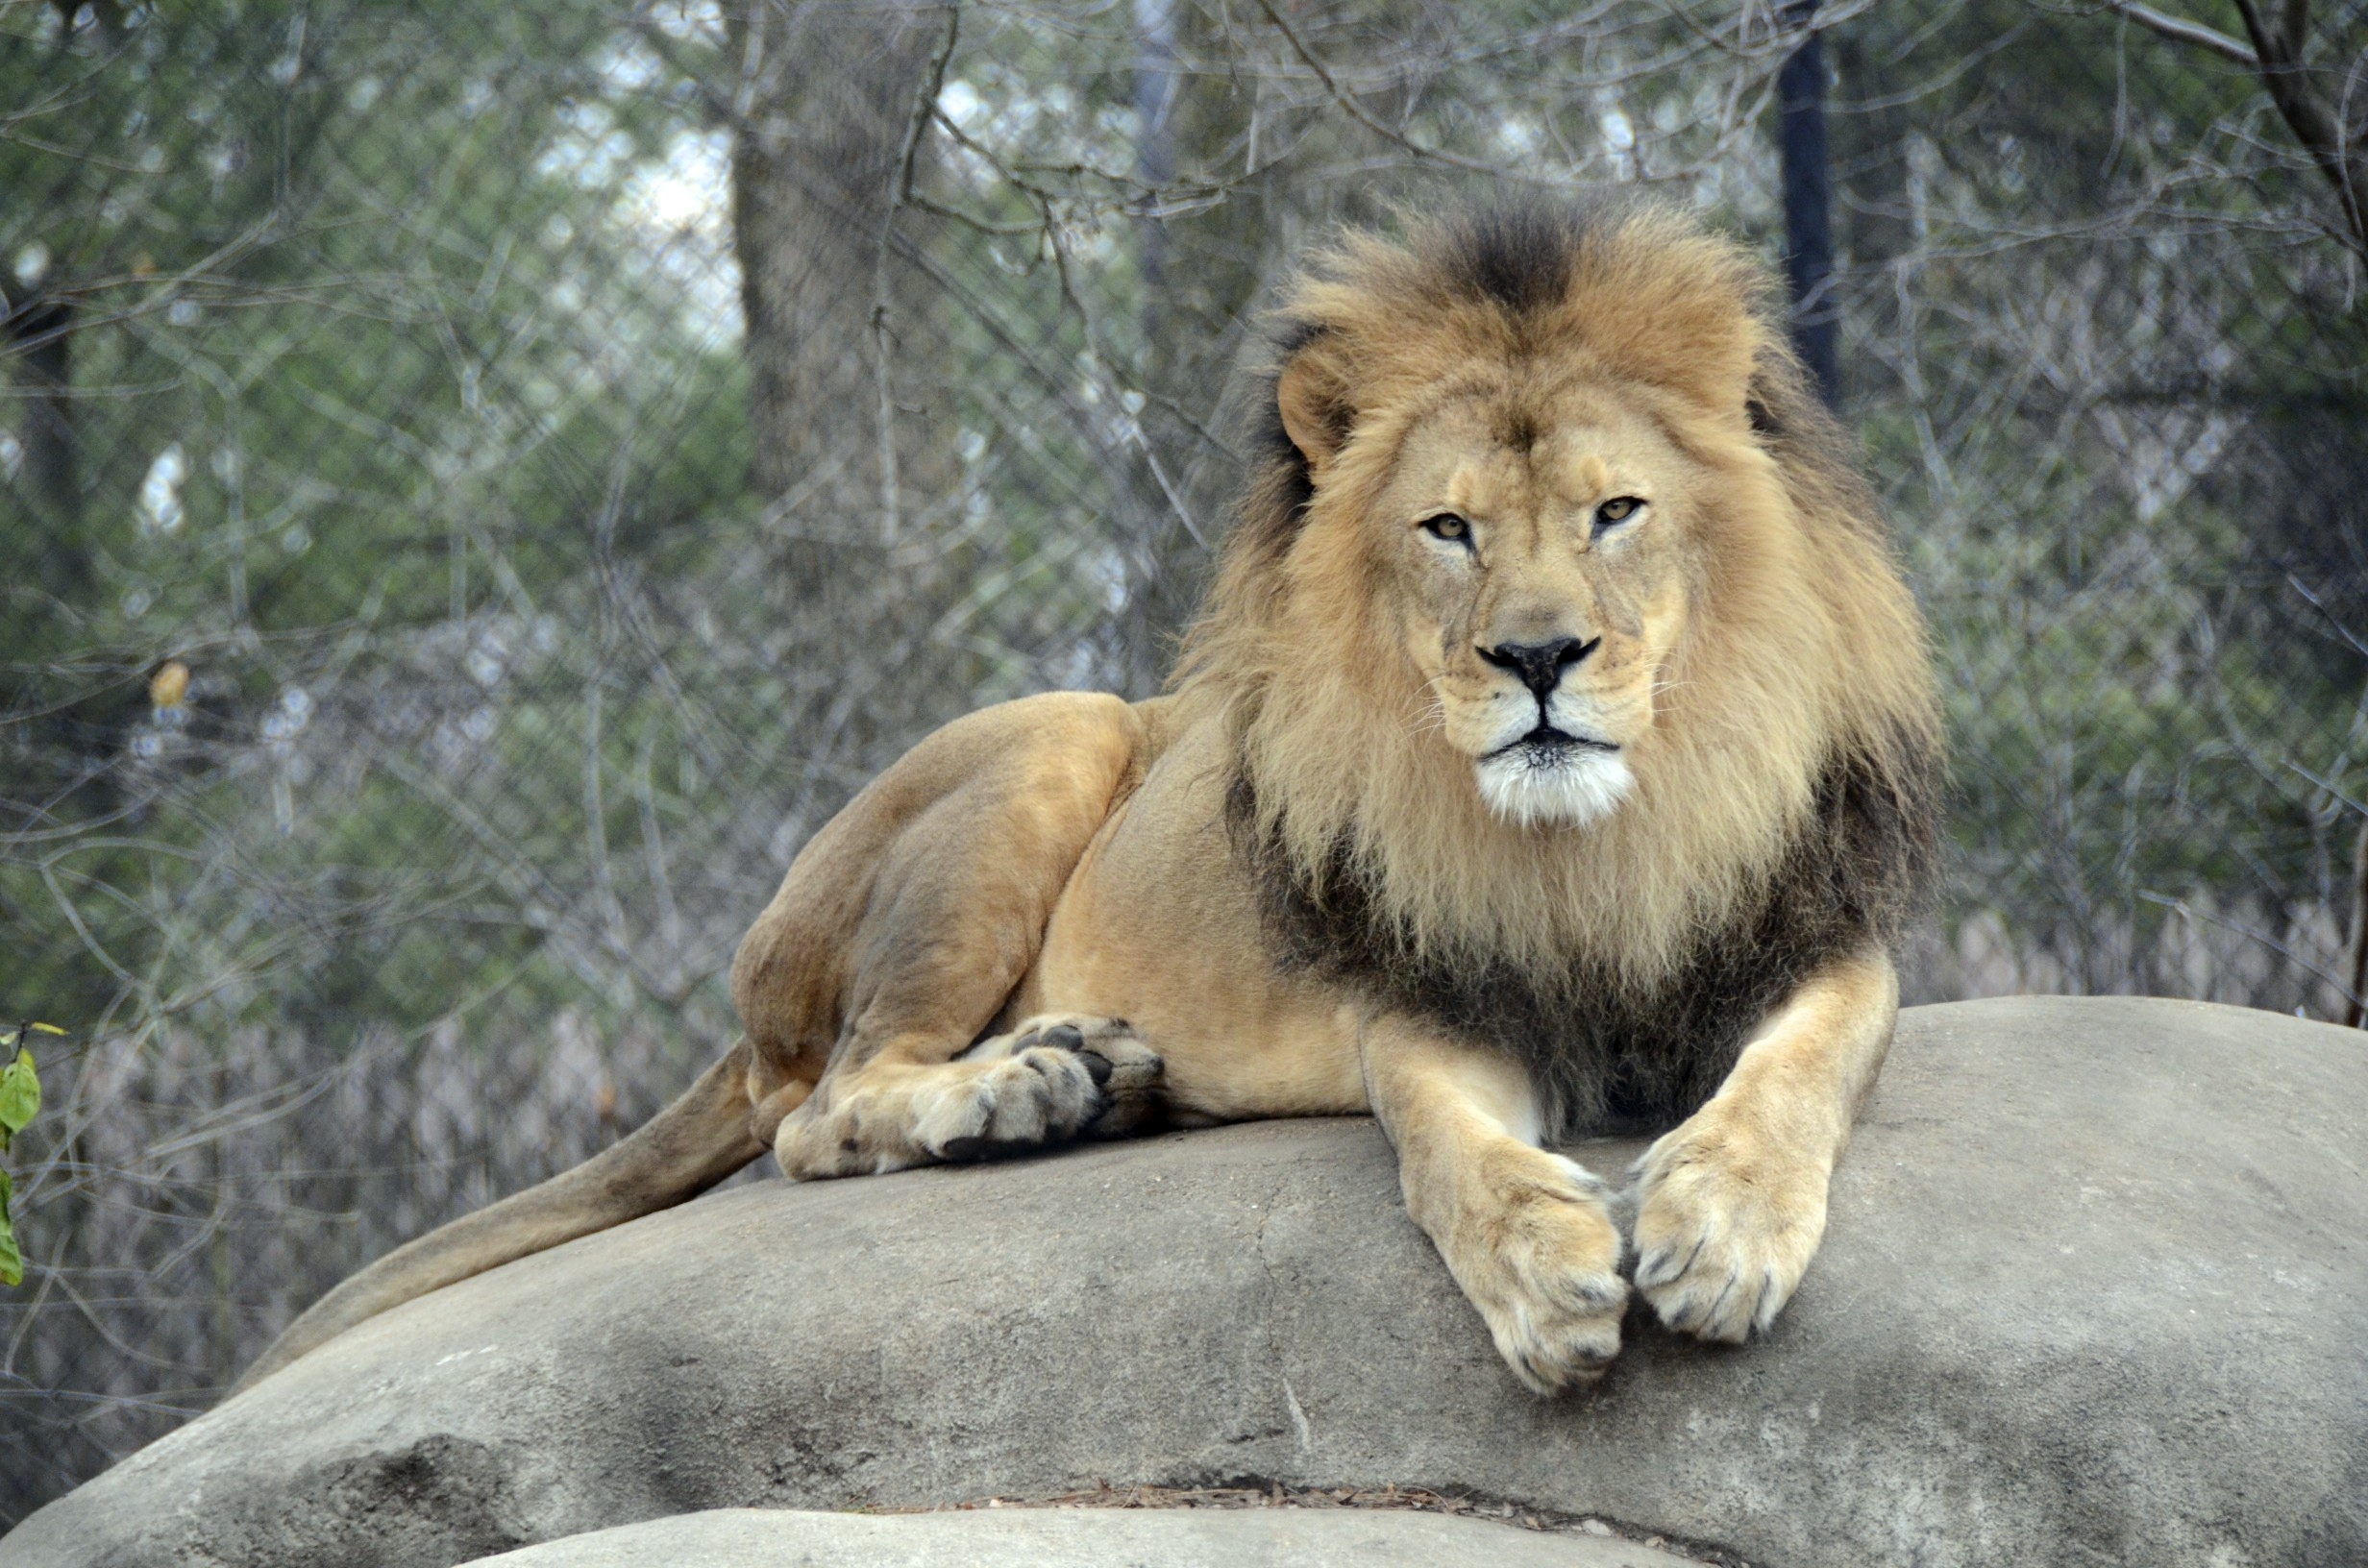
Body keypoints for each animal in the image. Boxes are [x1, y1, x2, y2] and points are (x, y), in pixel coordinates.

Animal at [240, 200, 1941, 1402]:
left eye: (1615, 512)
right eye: (1448, 529)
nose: (1535, 658)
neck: (1604, 843)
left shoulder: (1820, 930)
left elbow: (1800, 1070)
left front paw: (1720, 1228)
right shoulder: (1422, 998)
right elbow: (1447, 1148)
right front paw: (1545, 1273)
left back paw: (1086, 1070)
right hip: (1048, 739)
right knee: (827, 1108)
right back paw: (1020, 1091)